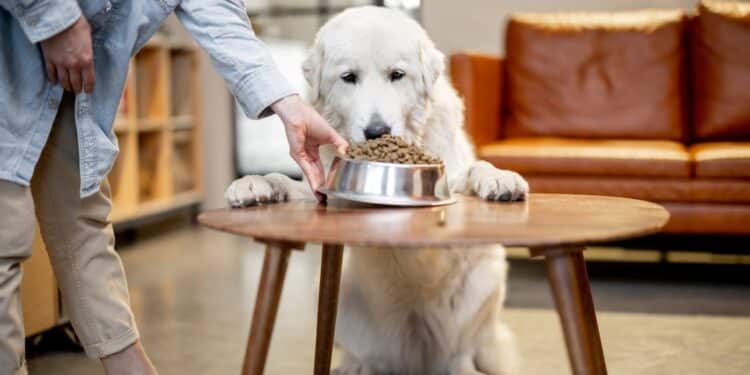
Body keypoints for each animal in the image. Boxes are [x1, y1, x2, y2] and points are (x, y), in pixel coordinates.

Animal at [229, 6, 528, 375]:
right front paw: (252, 183)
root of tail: (416, 359)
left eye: (397, 75)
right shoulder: (322, 191)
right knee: (367, 357)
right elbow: (280, 179)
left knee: (459, 356)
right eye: (349, 77)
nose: (376, 131)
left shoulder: (452, 178)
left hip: (484, 283)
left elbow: (477, 168)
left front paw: (500, 178)